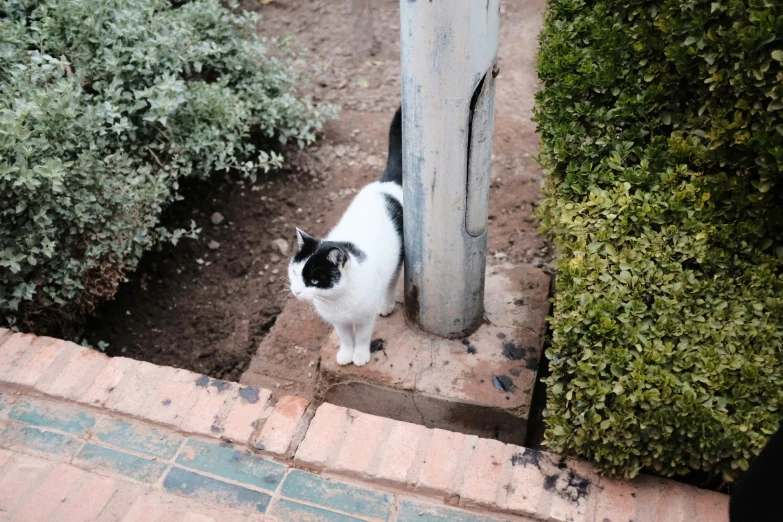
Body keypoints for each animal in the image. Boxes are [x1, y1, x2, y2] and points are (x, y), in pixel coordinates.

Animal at [288, 106, 404, 366]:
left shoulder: (365, 316)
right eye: (295, 273)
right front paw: (345, 354)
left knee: (392, 281)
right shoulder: (338, 321)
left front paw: (360, 356)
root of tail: (387, 184)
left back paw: (387, 304)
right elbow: (345, 337)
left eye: (314, 280)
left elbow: (361, 336)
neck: (336, 300)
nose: (297, 292)